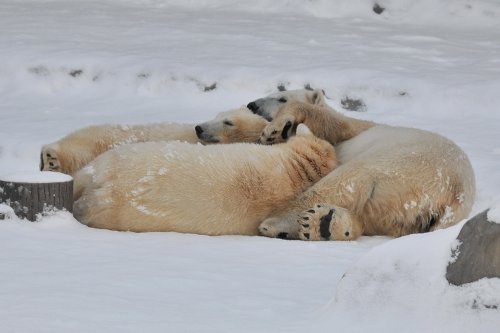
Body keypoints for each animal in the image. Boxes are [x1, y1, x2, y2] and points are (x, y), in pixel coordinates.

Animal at [258, 101, 476, 241]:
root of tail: (454, 194)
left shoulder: (361, 131)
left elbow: (334, 123)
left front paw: (275, 130)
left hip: (400, 163)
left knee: (348, 180)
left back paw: (275, 223)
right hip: (402, 212)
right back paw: (323, 223)